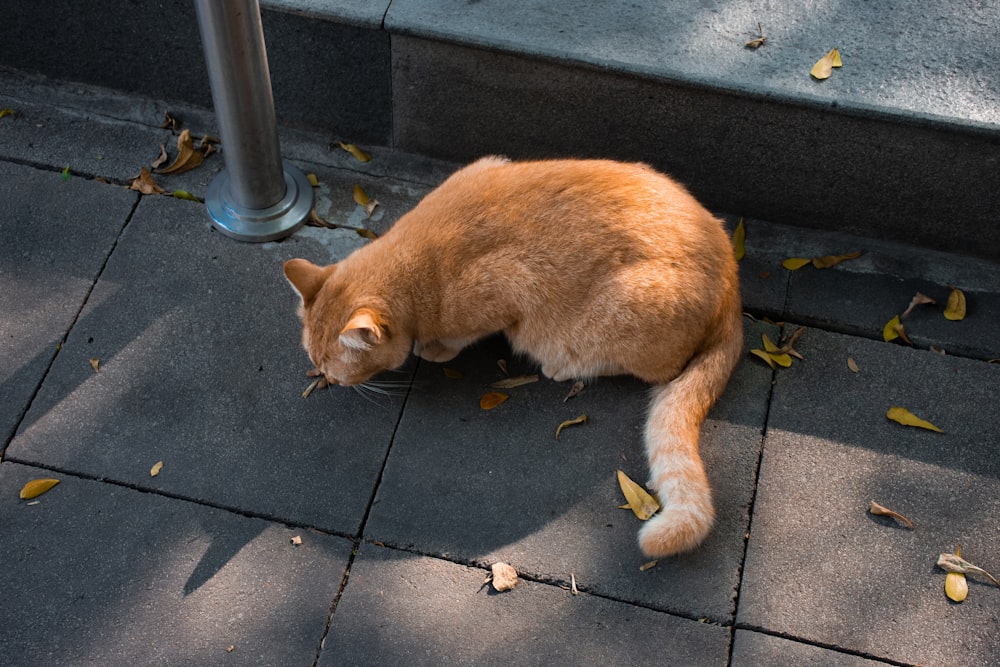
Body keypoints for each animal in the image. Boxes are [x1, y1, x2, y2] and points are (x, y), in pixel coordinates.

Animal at [282, 158, 744, 560]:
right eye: (315, 361)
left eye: (336, 371)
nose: (325, 379)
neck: (413, 260)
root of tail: (732, 285)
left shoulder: (505, 293)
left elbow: (459, 335)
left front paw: (434, 348)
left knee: (655, 369)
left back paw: (564, 366)